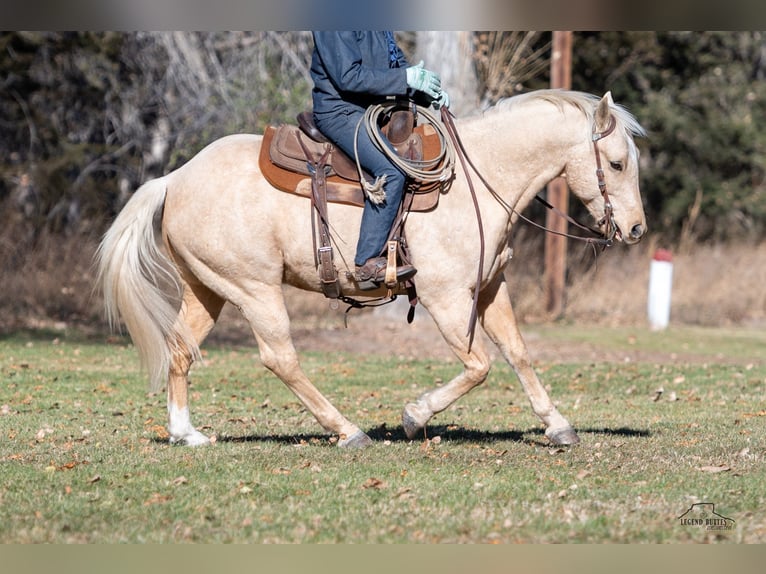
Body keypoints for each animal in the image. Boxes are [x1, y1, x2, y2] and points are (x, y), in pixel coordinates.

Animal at [96, 90, 648, 450]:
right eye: (617, 164)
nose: (637, 229)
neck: (479, 175)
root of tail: (173, 178)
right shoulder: (446, 297)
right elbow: (479, 366)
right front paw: (413, 417)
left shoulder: (490, 288)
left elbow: (518, 354)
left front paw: (557, 425)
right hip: (254, 290)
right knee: (280, 359)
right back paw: (347, 431)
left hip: (207, 288)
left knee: (180, 348)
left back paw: (186, 434)